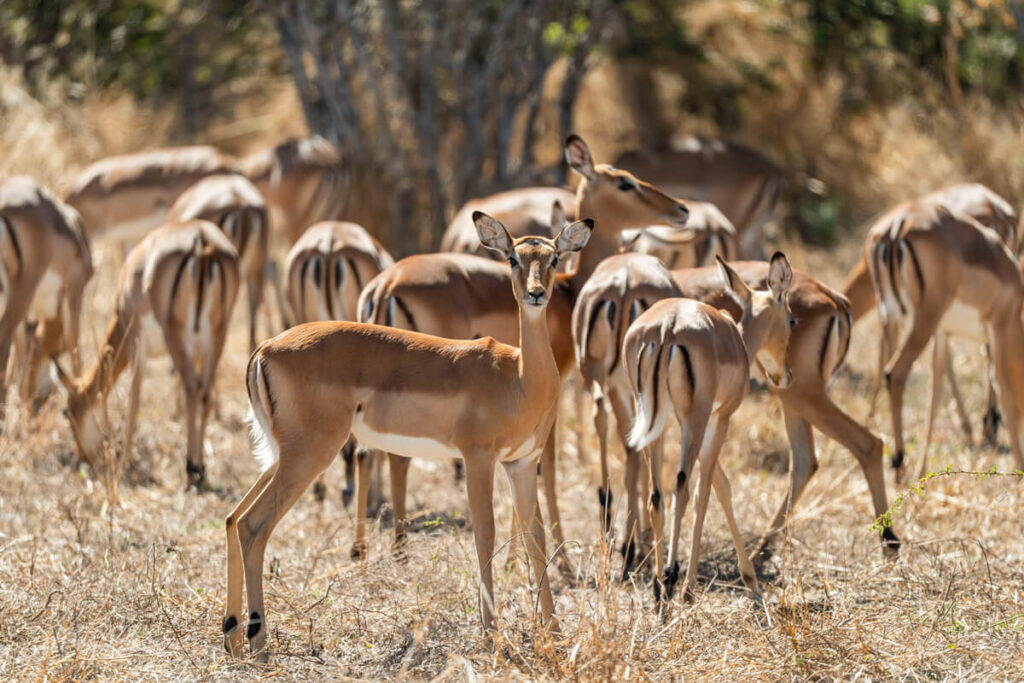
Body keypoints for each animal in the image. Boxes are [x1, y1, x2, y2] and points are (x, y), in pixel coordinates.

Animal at [52, 220, 239, 489]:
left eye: (66, 413)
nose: (82, 461)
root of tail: (201, 240)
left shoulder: (135, 343)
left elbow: (133, 400)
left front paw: (123, 463)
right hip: (218, 334)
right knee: (204, 393)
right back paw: (201, 470)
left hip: (175, 337)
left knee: (192, 387)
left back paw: (191, 468)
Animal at [352, 135, 689, 569]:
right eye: (625, 182)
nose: (680, 209)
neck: (570, 289)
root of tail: (386, 284)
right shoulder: (554, 389)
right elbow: (549, 467)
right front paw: (552, 561)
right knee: (396, 457)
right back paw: (398, 551)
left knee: (364, 453)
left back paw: (361, 550)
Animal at [626, 254, 793, 603]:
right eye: (792, 320)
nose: (786, 376)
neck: (737, 342)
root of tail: (667, 326)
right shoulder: (720, 418)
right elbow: (711, 491)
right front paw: (742, 581)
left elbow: (722, 486)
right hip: (694, 419)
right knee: (682, 488)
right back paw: (673, 580)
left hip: (651, 421)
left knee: (655, 494)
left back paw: (658, 590)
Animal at [844, 197, 1024, 482]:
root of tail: (897, 226)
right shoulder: (999, 329)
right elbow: (1004, 390)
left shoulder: (943, 334)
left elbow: (936, 394)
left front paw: (923, 471)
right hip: (923, 321)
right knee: (895, 373)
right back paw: (899, 462)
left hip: (892, 315)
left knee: (886, 366)